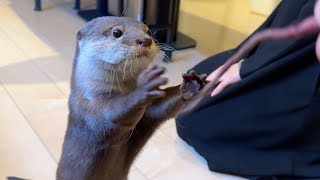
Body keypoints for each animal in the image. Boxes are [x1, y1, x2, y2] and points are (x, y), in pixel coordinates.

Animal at [57, 16, 208, 180]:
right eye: (116, 32)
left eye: (148, 31)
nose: (145, 40)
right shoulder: (89, 107)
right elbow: (113, 112)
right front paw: (143, 88)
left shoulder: (148, 113)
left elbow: (160, 109)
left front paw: (190, 86)